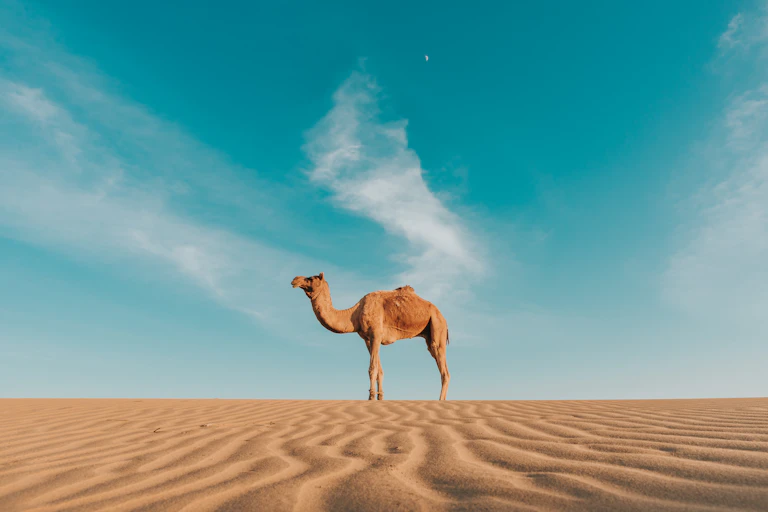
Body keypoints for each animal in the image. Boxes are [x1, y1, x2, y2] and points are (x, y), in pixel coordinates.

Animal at [291, 273, 451, 400]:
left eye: (310, 278)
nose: (295, 279)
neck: (354, 314)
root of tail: (443, 317)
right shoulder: (368, 338)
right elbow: (380, 371)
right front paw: (380, 397)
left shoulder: (376, 334)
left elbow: (372, 368)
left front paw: (371, 397)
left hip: (437, 325)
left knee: (444, 370)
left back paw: (440, 401)